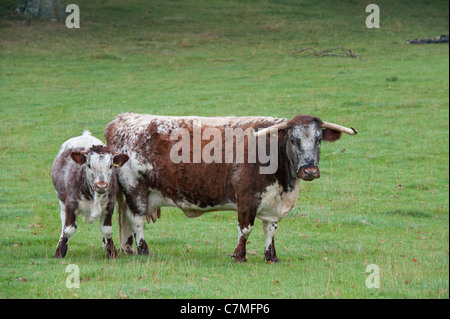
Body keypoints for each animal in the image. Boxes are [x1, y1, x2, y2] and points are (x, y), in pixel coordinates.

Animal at [103, 112, 356, 262]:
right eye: (293, 140)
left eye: (318, 140)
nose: (309, 170)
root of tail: (123, 118)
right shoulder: (247, 199)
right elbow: (246, 229)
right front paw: (239, 255)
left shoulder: (272, 203)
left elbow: (270, 230)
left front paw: (270, 256)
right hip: (135, 189)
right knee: (136, 220)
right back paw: (144, 250)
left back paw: (129, 249)